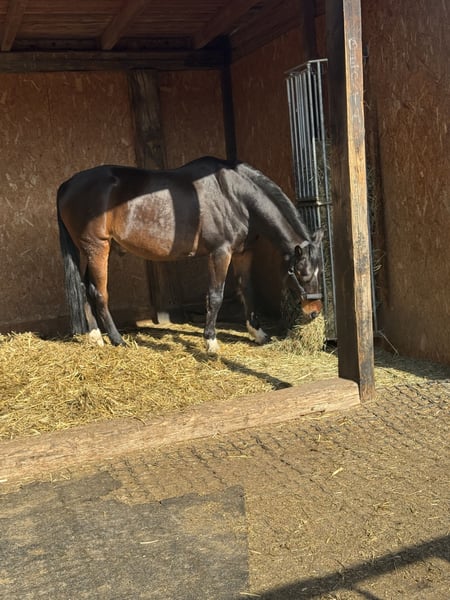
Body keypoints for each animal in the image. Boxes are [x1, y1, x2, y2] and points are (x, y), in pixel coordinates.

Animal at [56, 156, 323, 352]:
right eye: (302, 273)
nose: (315, 312)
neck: (233, 195)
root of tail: (66, 185)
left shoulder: (242, 252)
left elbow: (246, 289)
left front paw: (258, 333)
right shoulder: (220, 252)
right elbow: (215, 296)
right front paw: (211, 342)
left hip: (90, 250)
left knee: (85, 287)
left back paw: (95, 337)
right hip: (97, 248)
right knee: (98, 292)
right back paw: (117, 340)